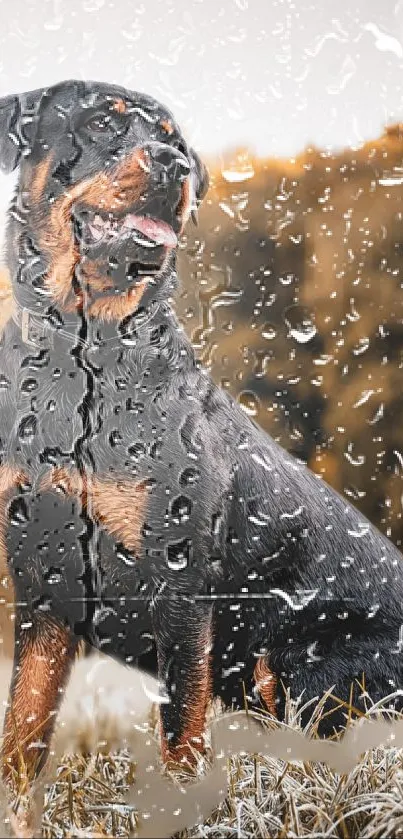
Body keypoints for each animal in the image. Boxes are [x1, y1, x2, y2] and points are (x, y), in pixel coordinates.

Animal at [0, 79, 403, 800]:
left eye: (176, 142)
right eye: (102, 122)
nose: (174, 165)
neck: (83, 355)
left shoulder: (180, 578)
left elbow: (179, 730)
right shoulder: (43, 575)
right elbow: (23, 723)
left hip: (303, 660)